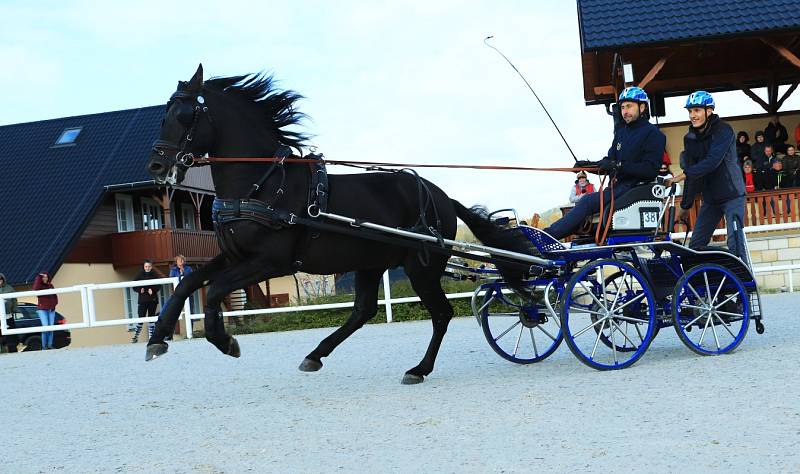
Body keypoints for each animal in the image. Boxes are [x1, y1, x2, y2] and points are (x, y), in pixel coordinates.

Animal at [145, 65, 520, 384]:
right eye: (163, 114)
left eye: (184, 115)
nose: (156, 166)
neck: (263, 183)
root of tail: (441, 196)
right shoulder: (236, 256)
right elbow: (187, 283)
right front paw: (158, 338)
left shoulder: (270, 262)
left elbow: (214, 292)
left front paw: (225, 341)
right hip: (371, 263)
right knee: (363, 310)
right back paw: (316, 355)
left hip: (421, 267)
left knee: (440, 314)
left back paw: (419, 368)